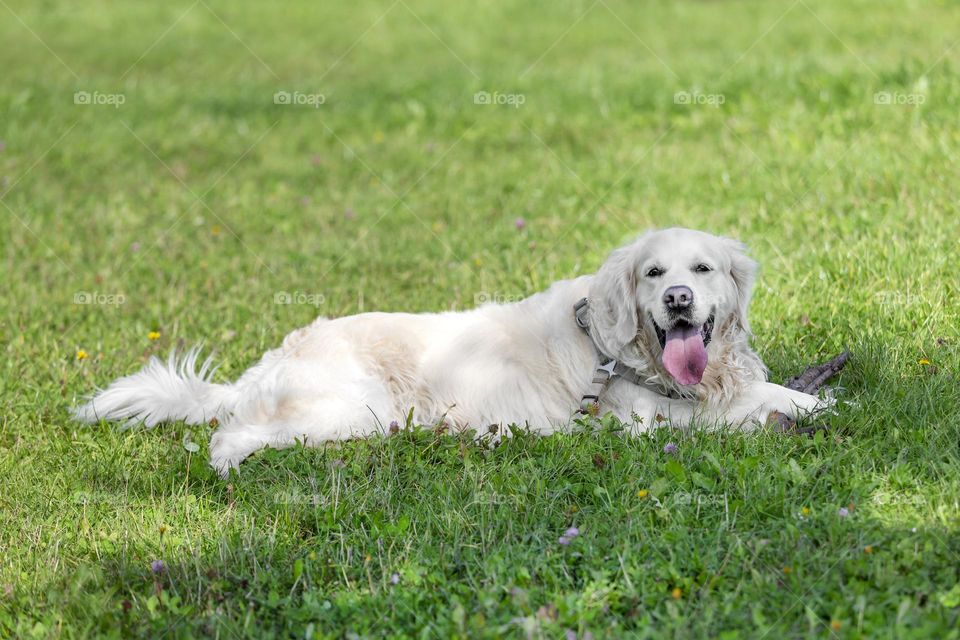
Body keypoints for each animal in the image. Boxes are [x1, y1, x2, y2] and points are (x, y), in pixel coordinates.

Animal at [73, 226, 824, 476]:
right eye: (653, 273)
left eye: (701, 269)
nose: (677, 300)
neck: (618, 346)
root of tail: (268, 363)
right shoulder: (647, 419)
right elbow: (739, 410)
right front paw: (796, 411)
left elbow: (767, 390)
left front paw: (808, 397)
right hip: (354, 409)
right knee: (228, 438)